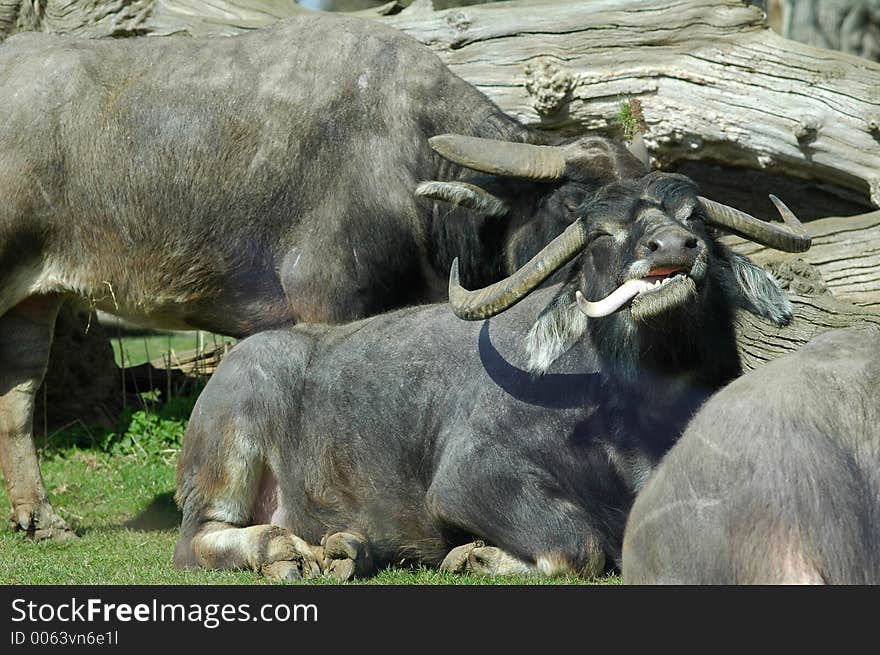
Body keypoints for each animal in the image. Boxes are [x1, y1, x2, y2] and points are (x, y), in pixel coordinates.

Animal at [168, 168, 808, 580]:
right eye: (602, 235)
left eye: (695, 217)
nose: (673, 245)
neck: (633, 420)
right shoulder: (467, 478)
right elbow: (579, 547)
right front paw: (474, 555)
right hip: (228, 450)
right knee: (194, 541)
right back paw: (282, 549)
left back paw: (344, 549)